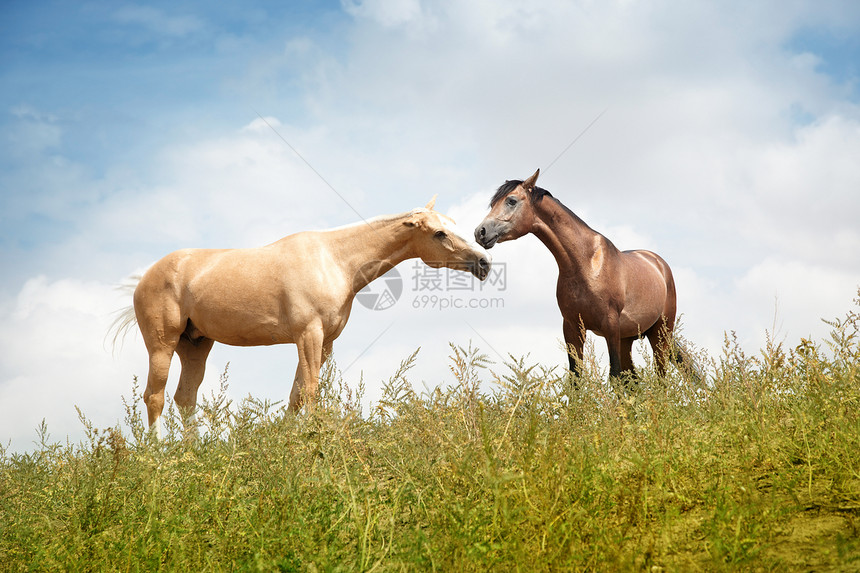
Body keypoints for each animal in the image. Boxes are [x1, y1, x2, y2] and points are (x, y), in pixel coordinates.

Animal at [116, 197, 490, 434]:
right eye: (439, 233)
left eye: (453, 225)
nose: (484, 262)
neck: (334, 260)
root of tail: (146, 278)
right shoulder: (308, 334)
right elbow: (310, 390)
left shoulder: (324, 342)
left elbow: (296, 395)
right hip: (162, 346)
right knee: (155, 397)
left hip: (195, 346)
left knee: (185, 399)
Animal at [474, 168, 680, 380]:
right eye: (493, 203)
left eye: (511, 201)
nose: (480, 232)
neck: (585, 264)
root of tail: (658, 263)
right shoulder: (572, 328)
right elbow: (576, 377)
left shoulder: (611, 327)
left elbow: (613, 375)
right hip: (627, 338)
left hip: (660, 334)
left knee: (661, 376)